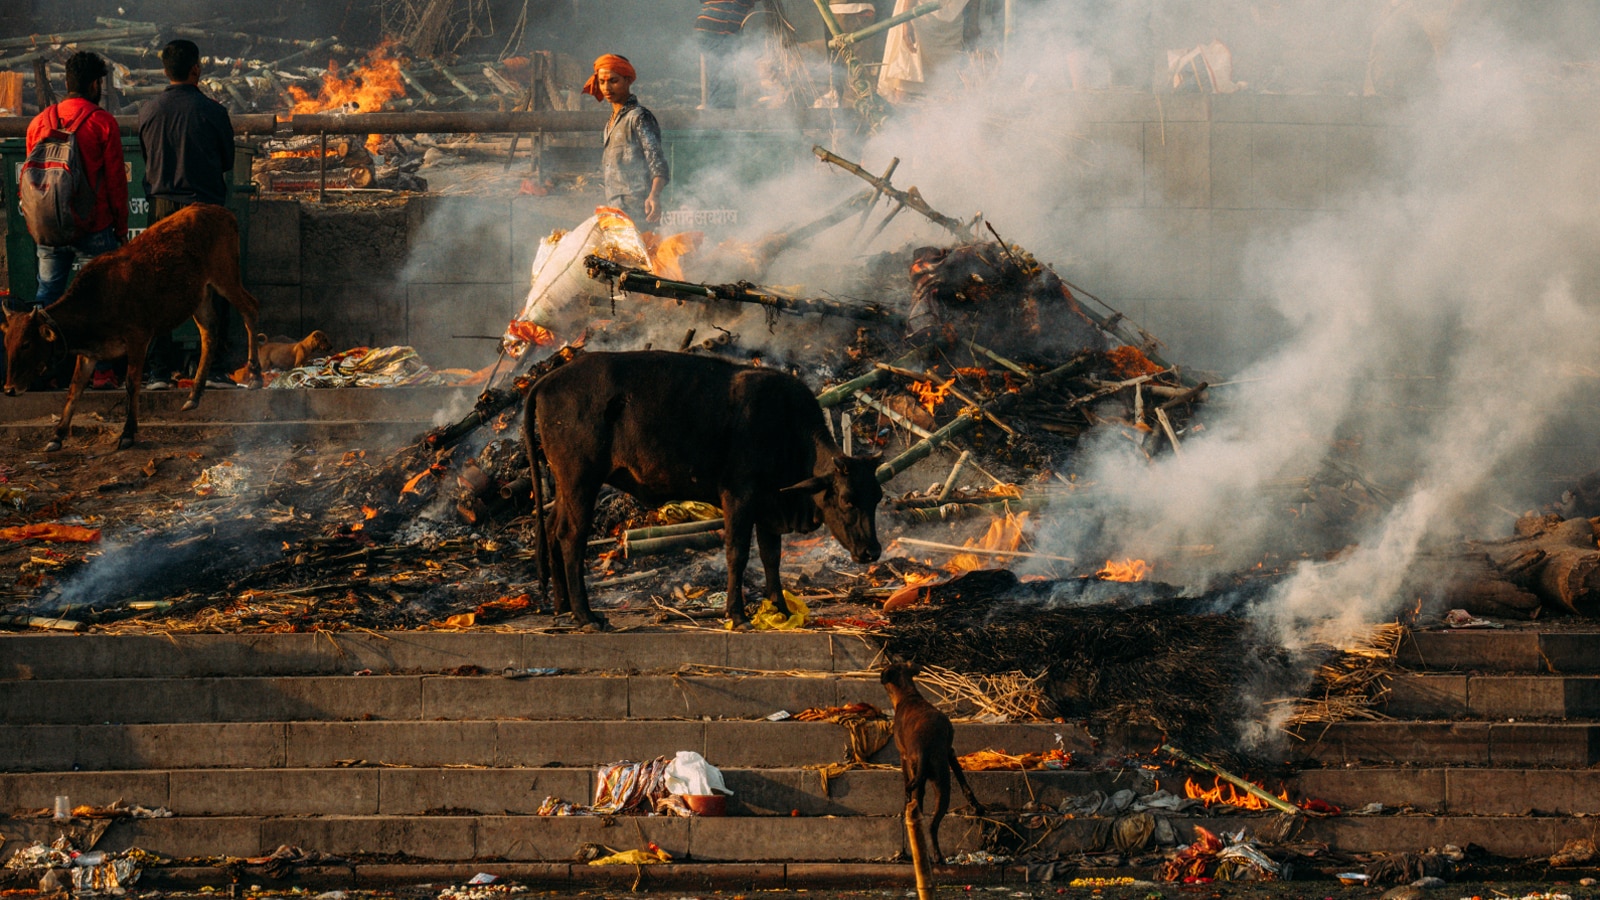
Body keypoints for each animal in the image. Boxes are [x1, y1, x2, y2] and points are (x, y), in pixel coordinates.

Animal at [3, 200, 259, 448]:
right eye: (7, 344)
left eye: (26, 343)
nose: (9, 389)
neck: (96, 300)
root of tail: (222, 212)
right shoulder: (89, 353)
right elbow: (75, 389)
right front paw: (56, 435)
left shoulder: (138, 337)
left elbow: (131, 383)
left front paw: (128, 433)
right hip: (201, 295)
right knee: (209, 332)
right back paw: (194, 396)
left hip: (225, 275)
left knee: (250, 308)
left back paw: (255, 375)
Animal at [521, 347, 883, 627]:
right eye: (848, 500)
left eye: (877, 497)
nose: (872, 551)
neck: (784, 424)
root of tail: (548, 380)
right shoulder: (739, 497)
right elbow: (737, 554)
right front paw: (737, 615)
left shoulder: (769, 504)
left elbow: (772, 557)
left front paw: (779, 608)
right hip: (581, 481)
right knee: (571, 536)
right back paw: (586, 616)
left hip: (566, 487)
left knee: (552, 530)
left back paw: (563, 607)